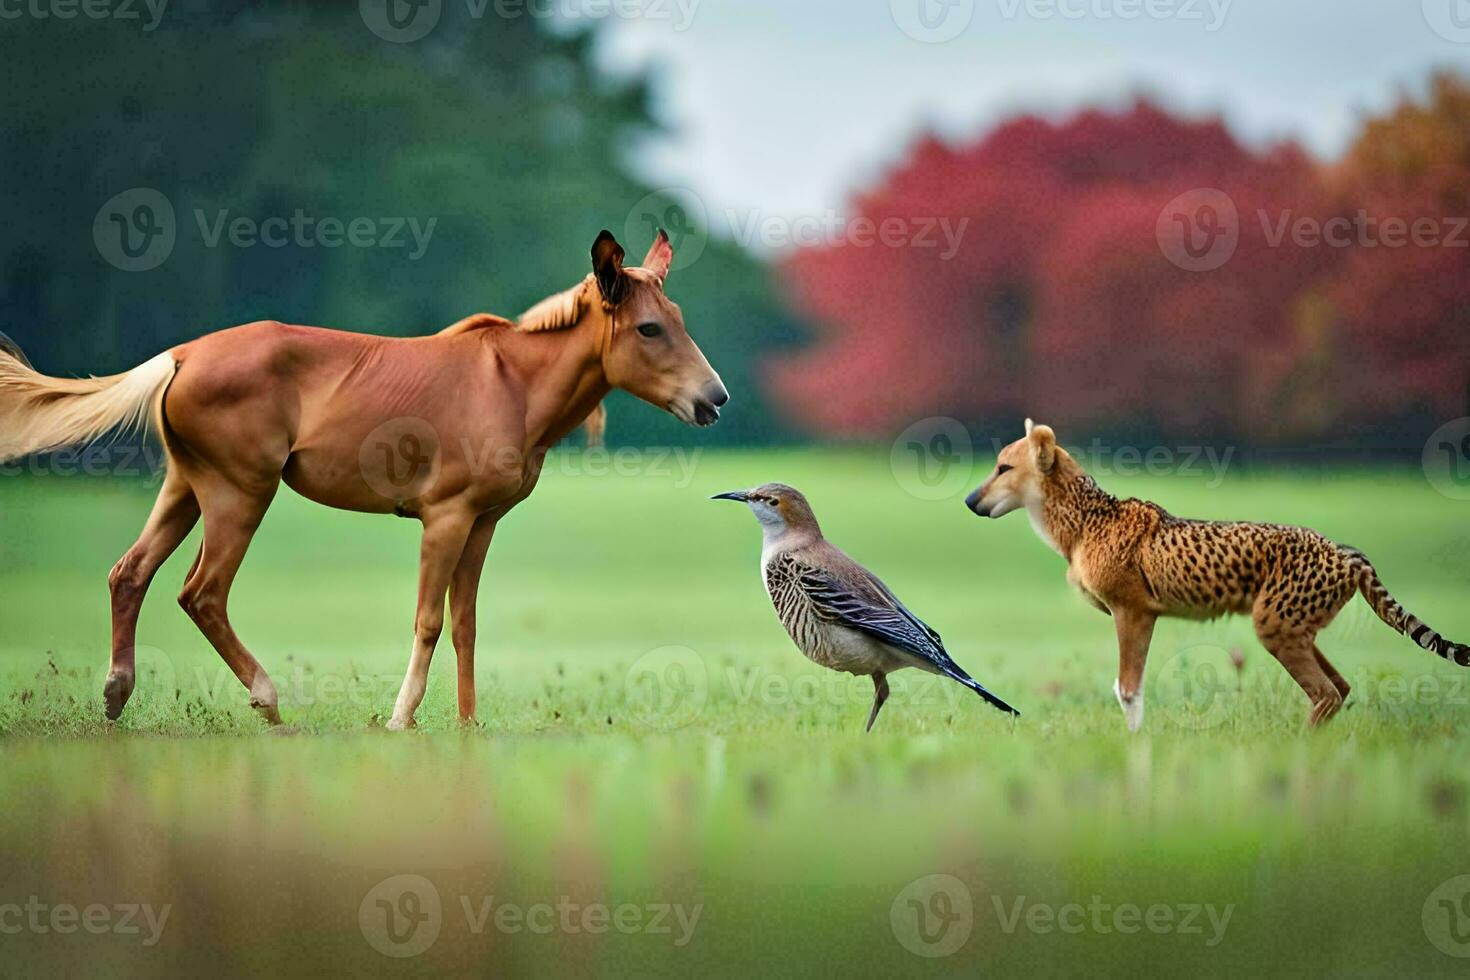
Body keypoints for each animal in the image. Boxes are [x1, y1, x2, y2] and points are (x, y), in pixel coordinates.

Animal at [0, 230, 729, 728]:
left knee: (130, 573)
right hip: (241, 492)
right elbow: (428, 621)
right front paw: (401, 718)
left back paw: (116, 696)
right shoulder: (446, 518)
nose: (714, 399)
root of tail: (180, 356)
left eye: (680, 321)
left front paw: (467, 726)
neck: (512, 385)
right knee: (201, 593)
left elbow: (465, 624)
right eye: (649, 328)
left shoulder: (484, 524)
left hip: (187, 487)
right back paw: (267, 701)